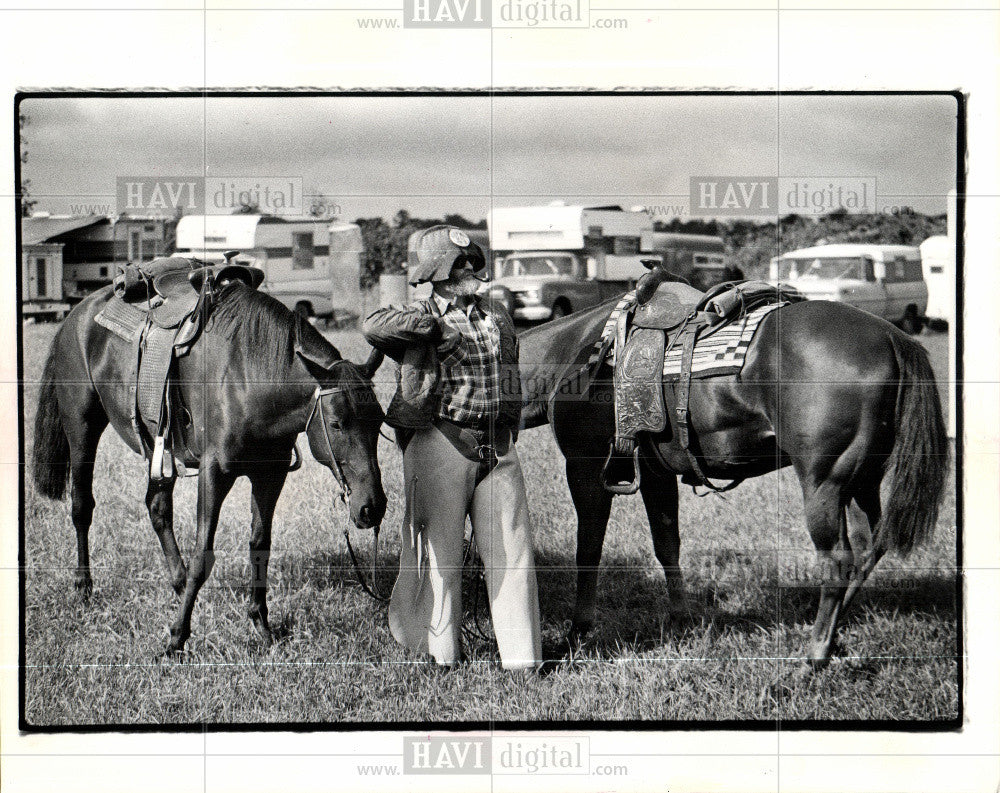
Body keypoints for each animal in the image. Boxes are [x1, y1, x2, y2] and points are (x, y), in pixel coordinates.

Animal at [32, 282, 386, 652]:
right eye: (336, 424)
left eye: (380, 421)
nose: (372, 508)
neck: (251, 373)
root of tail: (76, 314)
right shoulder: (214, 473)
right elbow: (203, 553)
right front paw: (177, 637)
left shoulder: (269, 474)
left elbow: (260, 544)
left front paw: (261, 625)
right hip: (81, 428)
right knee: (81, 507)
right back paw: (83, 587)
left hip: (159, 450)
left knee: (157, 508)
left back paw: (177, 583)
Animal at [520, 296, 948, 664]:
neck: (569, 353)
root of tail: (893, 337)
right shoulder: (657, 473)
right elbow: (667, 545)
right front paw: (680, 621)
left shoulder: (585, 468)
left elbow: (588, 551)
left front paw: (577, 631)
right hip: (861, 483)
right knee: (870, 547)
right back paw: (834, 636)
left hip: (825, 484)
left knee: (839, 561)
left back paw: (814, 655)